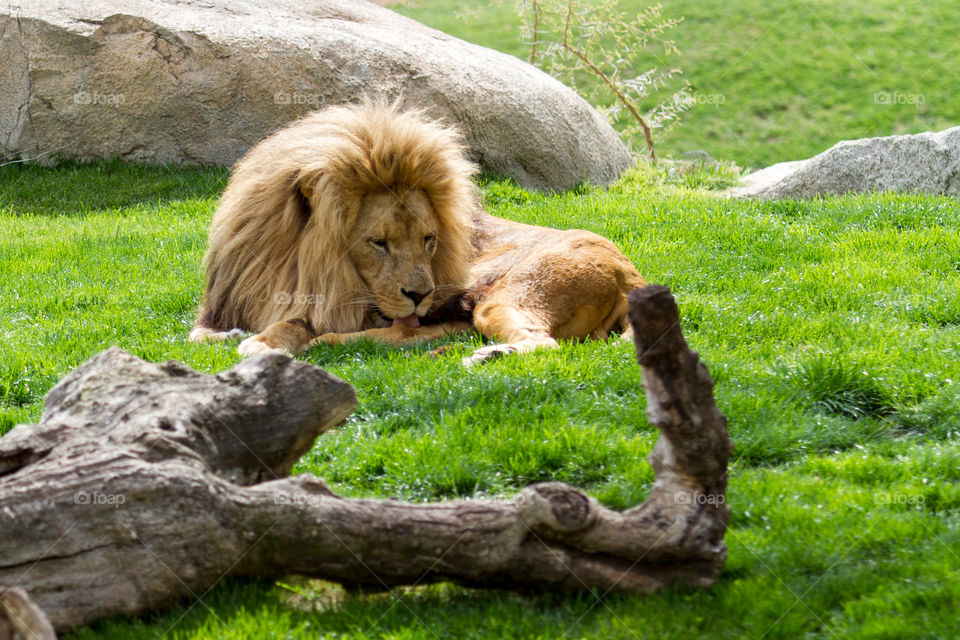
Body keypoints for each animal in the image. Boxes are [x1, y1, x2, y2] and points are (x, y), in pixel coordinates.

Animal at [190, 102, 648, 365]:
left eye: (430, 240)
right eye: (379, 243)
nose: (420, 295)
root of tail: (632, 276)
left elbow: (296, 323)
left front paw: (264, 344)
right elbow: (200, 337)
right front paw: (236, 335)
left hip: (509, 294)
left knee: (544, 345)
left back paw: (486, 354)